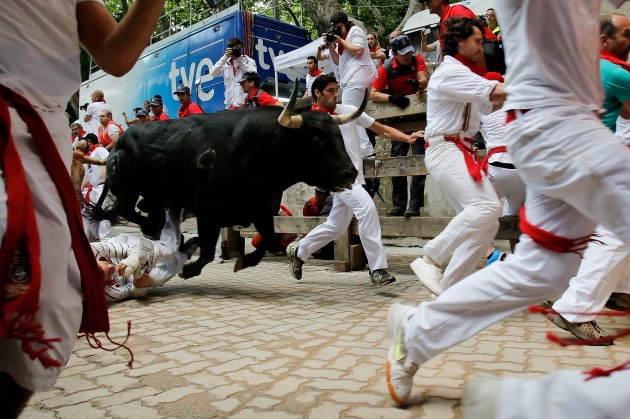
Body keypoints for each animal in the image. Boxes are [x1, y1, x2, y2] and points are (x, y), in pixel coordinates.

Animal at [90, 90, 366, 278]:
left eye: (340, 137)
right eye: (319, 142)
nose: (350, 173)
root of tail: (118, 143)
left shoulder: (261, 208)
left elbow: (267, 237)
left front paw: (243, 261)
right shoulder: (208, 210)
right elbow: (208, 250)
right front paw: (188, 269)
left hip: (156, 197)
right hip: (127, 189)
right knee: (127, 211)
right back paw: (170, 237)